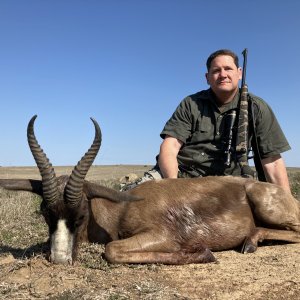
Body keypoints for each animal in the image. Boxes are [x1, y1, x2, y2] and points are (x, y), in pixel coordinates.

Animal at [0, 115, 300, 264]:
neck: (122, 207)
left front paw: (201, 253)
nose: (60, 260)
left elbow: (111, 250)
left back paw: (250, 242)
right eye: (45, 213)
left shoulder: (160, 235)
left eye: (82, 214)